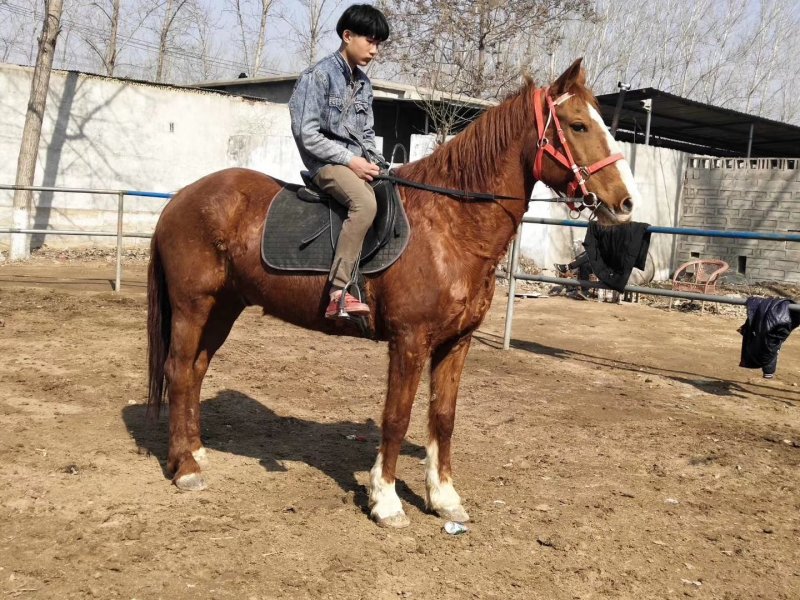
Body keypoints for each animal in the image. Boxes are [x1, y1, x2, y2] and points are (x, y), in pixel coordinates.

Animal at [146, 58, 640, 528]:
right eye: (578, 125)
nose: (626, 203)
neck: (451, 225)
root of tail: (181, 199)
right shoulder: (409, 340)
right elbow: (397, 416)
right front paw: (385, 501)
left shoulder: (456, 343)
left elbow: (443, 417)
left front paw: (444, 498)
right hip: (193, 307)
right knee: (178, 370)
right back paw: (185, 468)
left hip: (223, 307)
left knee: (196, 370)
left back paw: (196, 450)